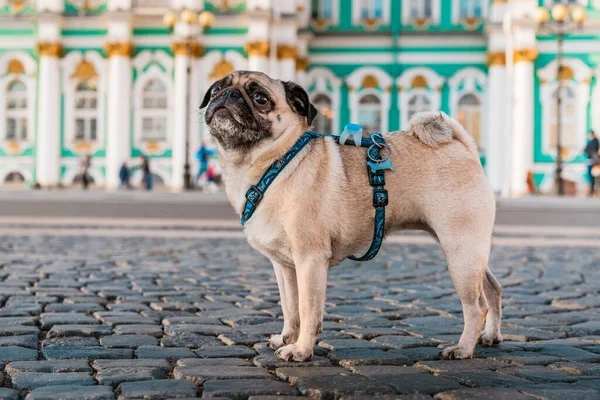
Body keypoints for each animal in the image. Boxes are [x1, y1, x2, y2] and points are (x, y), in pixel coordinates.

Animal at [202, 71, 502, 362]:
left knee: (476, 306)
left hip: (459, 250)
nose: (227, 95)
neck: (273, 163)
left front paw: (300, 350)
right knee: (492, 289)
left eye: (261, 98)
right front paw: (287, 338)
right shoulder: (284, 266)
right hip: (468, 251)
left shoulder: (310, 259)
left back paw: (463, 349)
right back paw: (490, 336)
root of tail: (462, 146)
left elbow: (308, 309)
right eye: (215, 90)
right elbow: (290, 308)